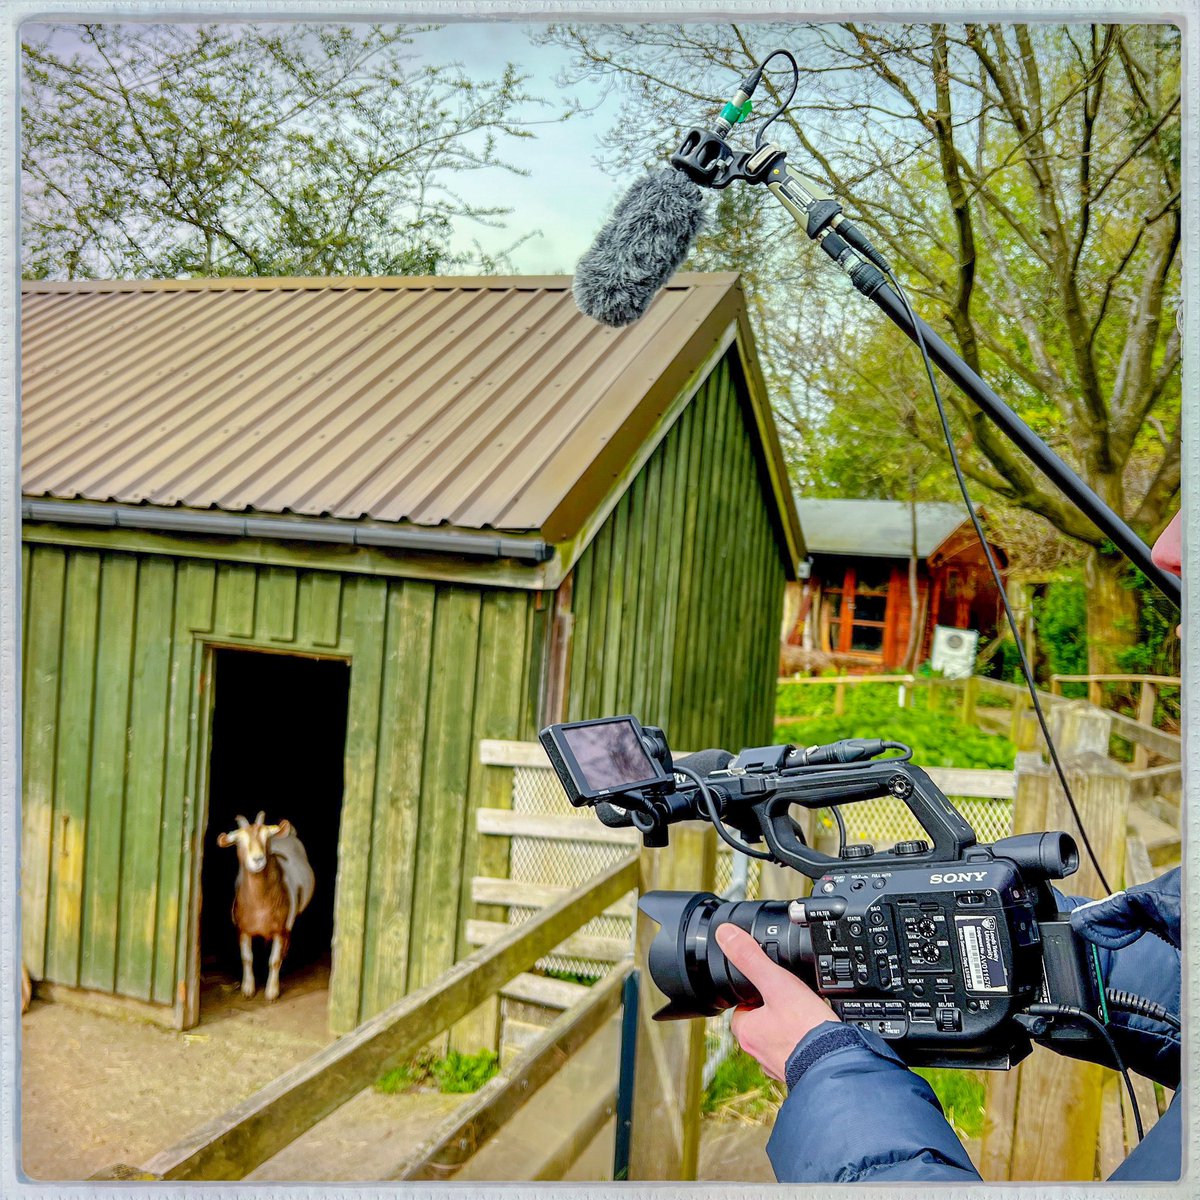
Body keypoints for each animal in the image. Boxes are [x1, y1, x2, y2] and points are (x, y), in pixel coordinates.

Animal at [217, 811, 314, 998]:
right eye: (238, 841)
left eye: (267, 837)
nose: (258, 859)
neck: (260, 907)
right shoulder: (243, 930)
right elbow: (247, 958)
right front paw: (248, 989)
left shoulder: (280, 930)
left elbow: (274, 960)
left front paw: (272, 992)